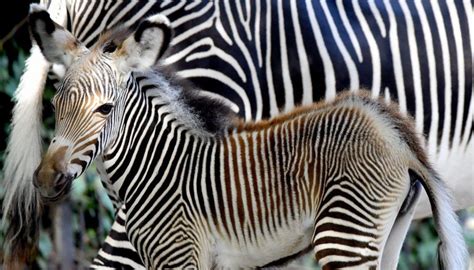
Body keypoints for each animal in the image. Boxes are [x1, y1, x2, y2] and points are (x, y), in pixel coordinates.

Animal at [1, 0, 472, 268]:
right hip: (386, 232)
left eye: (105, 109)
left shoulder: (181, 255)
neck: (153, 168)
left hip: (344, 235)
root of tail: (395, 135)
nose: (45, 179)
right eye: (56, 105)